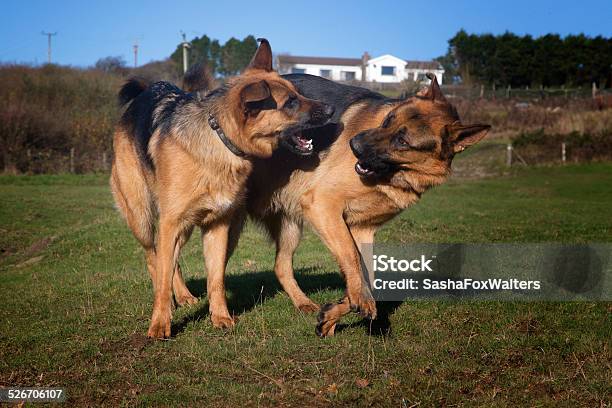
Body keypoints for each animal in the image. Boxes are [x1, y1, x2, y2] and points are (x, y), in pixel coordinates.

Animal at [107, 39, 332, 338]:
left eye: (298, 95)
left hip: (183, 228)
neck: (220, 141)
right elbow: (163, 274)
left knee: (173, 261)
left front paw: (221, 317)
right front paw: (160, 323)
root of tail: (144, 92)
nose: (331, 111)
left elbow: (216, 278)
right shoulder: (170, 223)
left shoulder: (218, 226)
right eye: (290, 102)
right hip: (143, 218)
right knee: (154, 258)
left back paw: (184, 295)